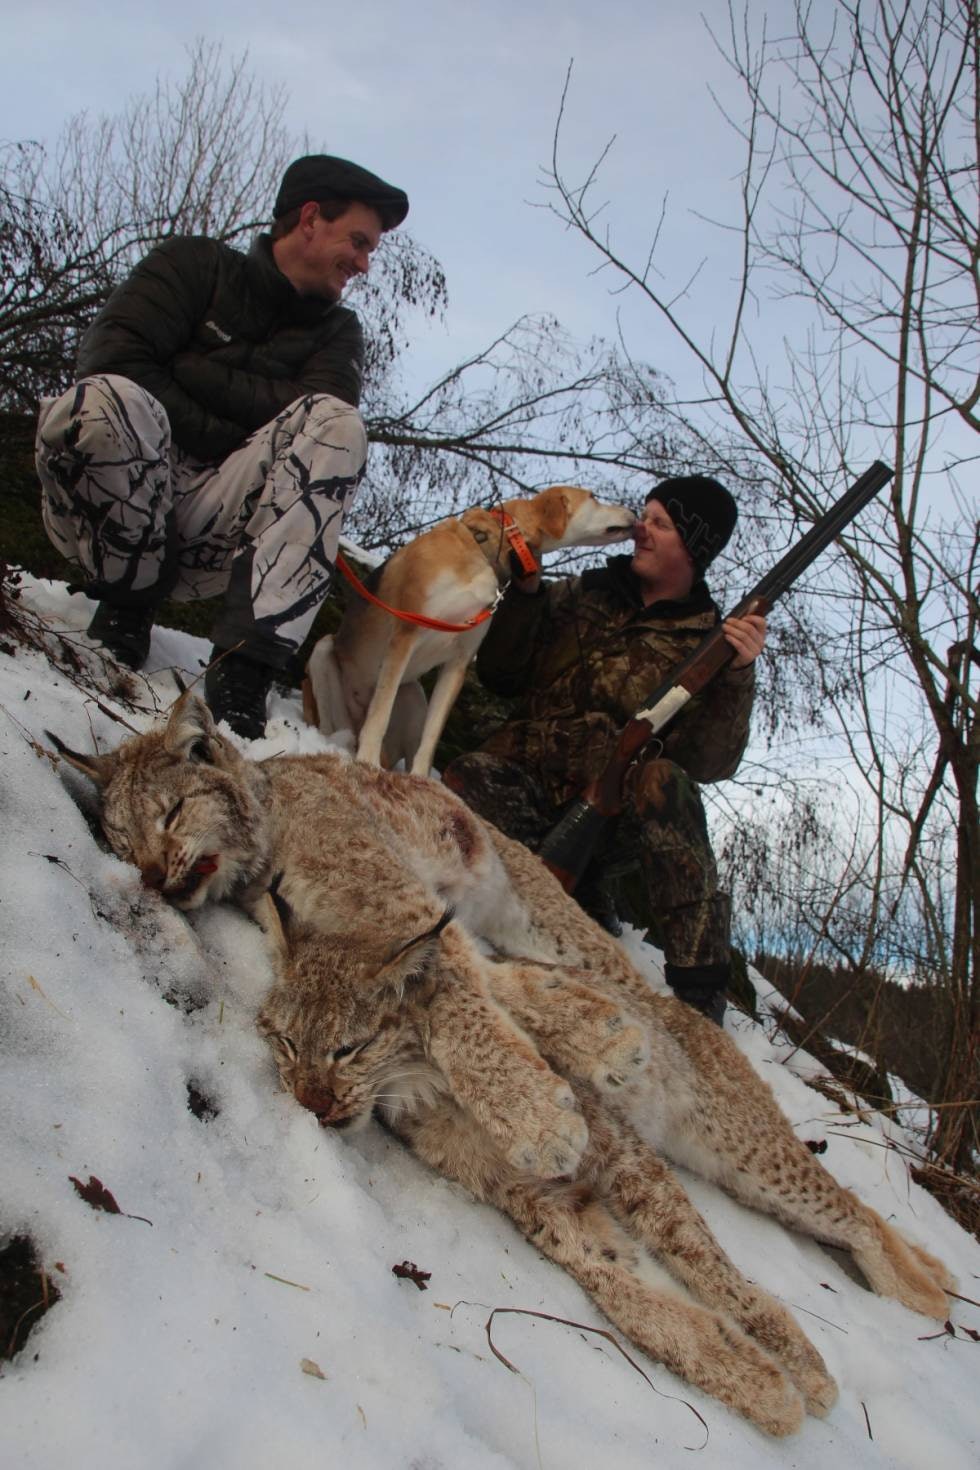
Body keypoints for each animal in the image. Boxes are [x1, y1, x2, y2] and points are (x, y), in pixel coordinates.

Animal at [302, 485, 637, 782]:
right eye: (593, 496)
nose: (634, 512)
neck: (485, 549)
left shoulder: (458, 662)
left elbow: (432, 735)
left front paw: (421, 780)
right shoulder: (406, 633)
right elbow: (380, 713)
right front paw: (367, 763)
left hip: (413, 693)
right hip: (323, 654)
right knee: (341, 722)